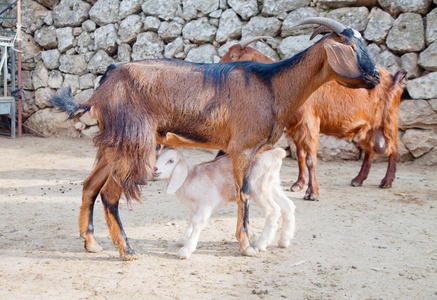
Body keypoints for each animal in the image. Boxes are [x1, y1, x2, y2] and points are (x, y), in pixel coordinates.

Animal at [50, 17, 378, 260]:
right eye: (350, 46)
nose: (375, 77)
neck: (272, 86)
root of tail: (104, 82)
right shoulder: (242, 148)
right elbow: (243, 193)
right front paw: (247, 246)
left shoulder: (249, 150)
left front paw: (253, 239)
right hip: (134, 142)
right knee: (110, 193)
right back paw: (126, 249)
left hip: (113, 144)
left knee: (90, 185)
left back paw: (91, 243)